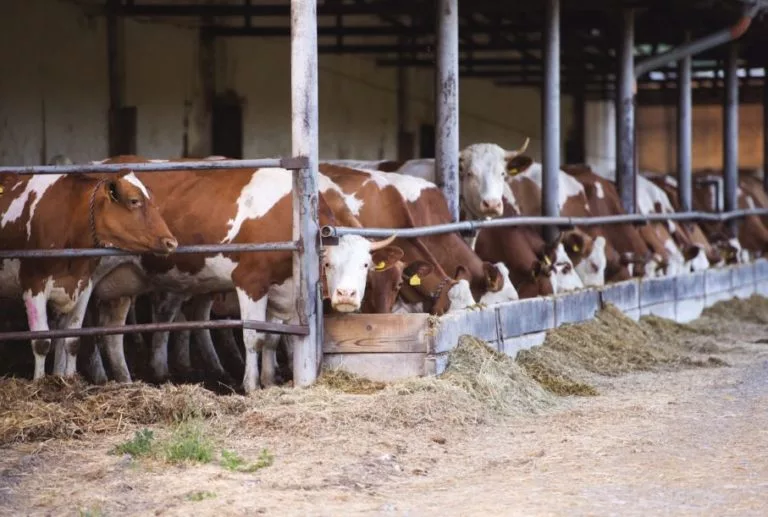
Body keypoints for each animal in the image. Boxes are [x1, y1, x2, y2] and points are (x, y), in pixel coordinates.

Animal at [0, 168, 178, 380]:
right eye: (134, 201)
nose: (171, 243)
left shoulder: (84, 285)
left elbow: (73, 341)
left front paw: (69, 379)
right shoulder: (33, 286)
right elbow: (41, 342)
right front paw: (39, 382)